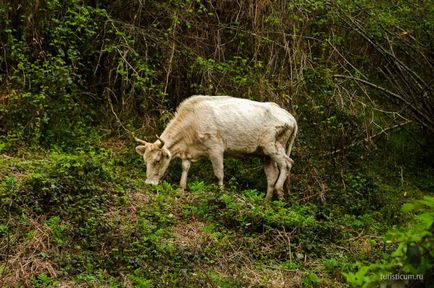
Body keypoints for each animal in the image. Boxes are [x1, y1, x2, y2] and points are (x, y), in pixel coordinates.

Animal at [135, 95, 298, 199]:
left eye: (157, 161)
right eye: (145, 161)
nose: (149, 184)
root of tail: (289, 116)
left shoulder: (216, 149)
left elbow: (219, 173)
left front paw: (220, 194)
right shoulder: (188, 151)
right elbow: (185, 168)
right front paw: (181, 189)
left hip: (274, 146)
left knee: (287, 164)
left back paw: (279, 191)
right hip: (265, 154)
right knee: (272, 176)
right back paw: (266, 202)